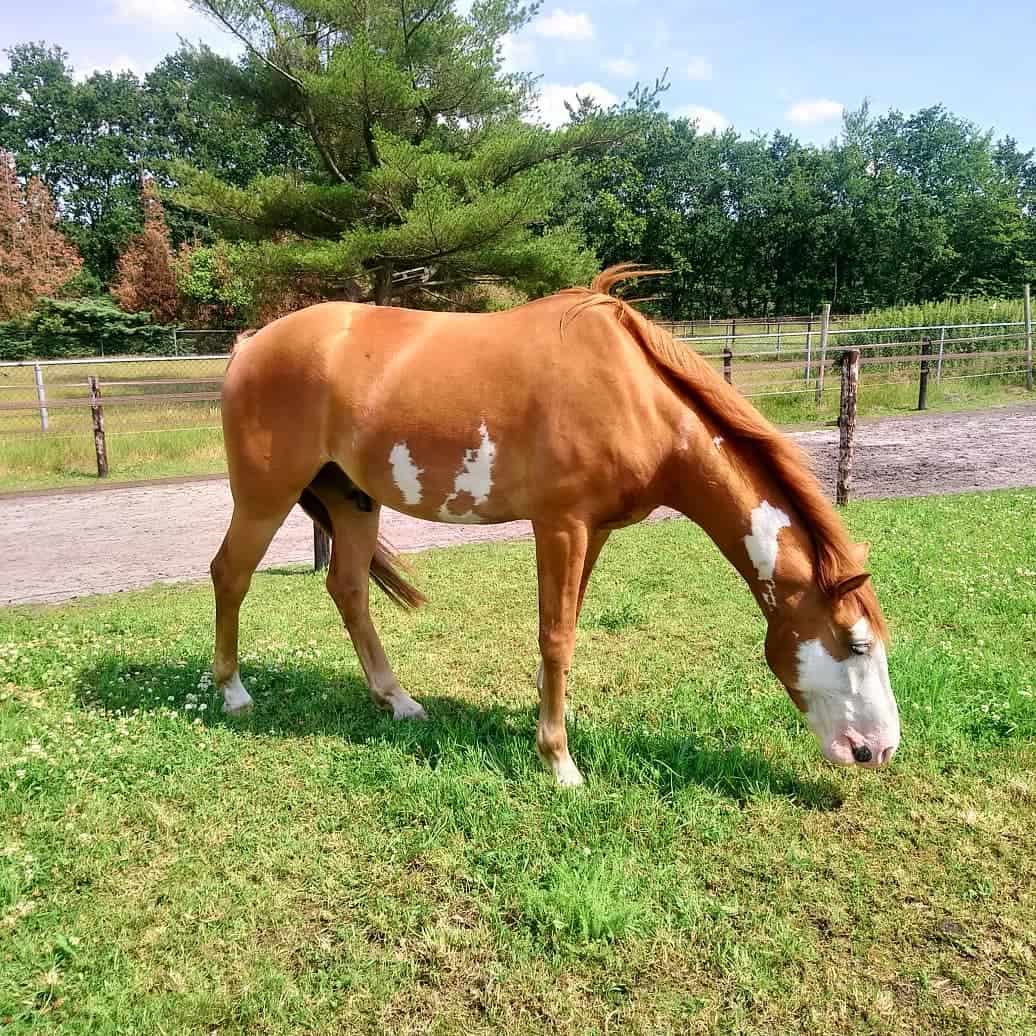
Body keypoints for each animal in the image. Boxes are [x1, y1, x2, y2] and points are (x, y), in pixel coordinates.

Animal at [210, 267, 899, 783]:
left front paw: (542, 724)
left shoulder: (594, 531)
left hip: (352, 498)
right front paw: (560, 762)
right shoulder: (560, 526)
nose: (879, 749)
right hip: (265, 497)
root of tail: (249, 345)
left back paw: (398, 700)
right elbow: (556, 636)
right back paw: (234, 693)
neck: (633, 396)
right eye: (855, 643)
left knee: (348, 589)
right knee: (230, 574)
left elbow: (565, 628)